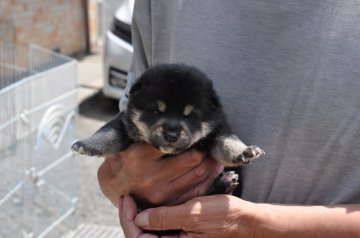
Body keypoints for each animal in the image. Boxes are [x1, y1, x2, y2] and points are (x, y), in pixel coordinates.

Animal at [72, 63, 264, 195]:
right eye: (156, 111)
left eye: (191, 116)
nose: (171, 135)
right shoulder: (124, 123)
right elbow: (108, 133)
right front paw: (87, 144)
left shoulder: (217, 130)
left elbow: (227, 142)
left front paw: (245, 151)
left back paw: (225, 183)